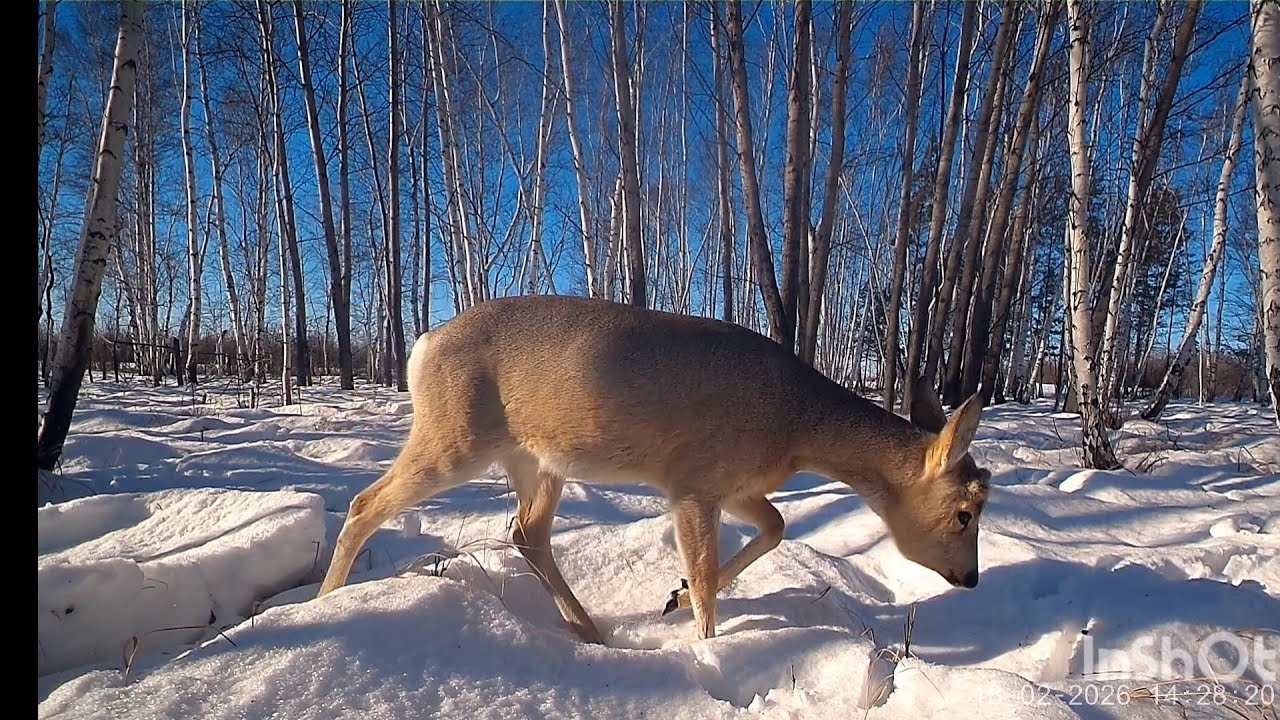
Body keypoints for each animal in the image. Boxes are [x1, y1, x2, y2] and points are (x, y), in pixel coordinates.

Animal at [316, 295, 990, 644]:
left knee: (527, 533)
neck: (796, 427)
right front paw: (705, 642)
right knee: (365, 503)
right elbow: (714, 579)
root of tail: (421, 346)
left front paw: (678, 593)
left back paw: (589, 629)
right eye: (965, 512)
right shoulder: (692, 482)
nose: (972, 580)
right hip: (455, 438)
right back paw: (323, 603)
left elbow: (775, 526)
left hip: (538, 460)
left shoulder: (732, 484)